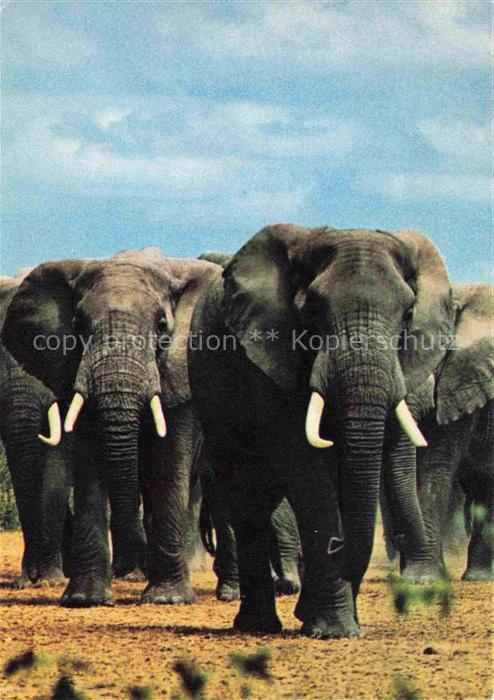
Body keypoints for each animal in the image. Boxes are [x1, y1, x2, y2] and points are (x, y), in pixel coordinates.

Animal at [3, 247, 221, 607]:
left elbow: (169, 463)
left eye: (162, 326)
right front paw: (84, 599)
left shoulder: (181, 370)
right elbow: (90, 467)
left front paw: (166, 600)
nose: (32, 578)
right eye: (78, 326)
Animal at [188, 224, 455, 639]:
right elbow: (306, 470)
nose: (335, 545)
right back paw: (258, 625)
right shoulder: (271, 355)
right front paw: (333, 630)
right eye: (312, 310)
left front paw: (326, 621)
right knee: (248, 498)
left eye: (409, 313)